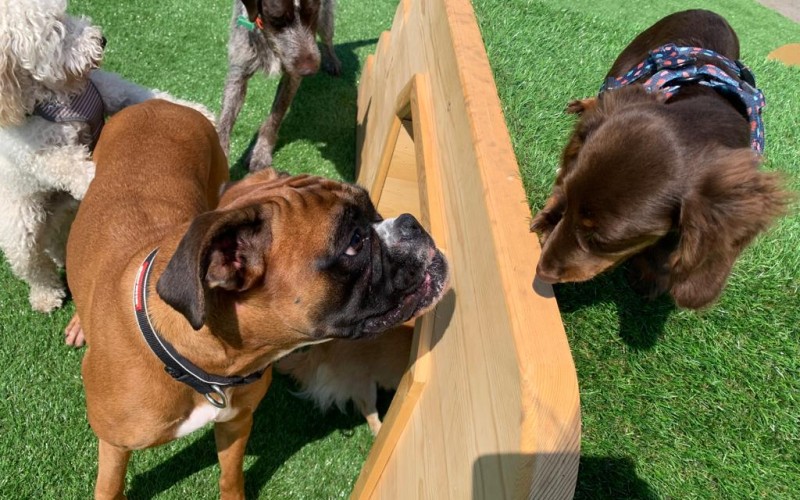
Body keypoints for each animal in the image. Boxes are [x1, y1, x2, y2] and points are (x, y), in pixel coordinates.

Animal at [0, 0, 216, 312]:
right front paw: (95, 177)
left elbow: (143, 95)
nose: (101, 40)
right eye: (56, 29)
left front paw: (198, 112)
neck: (61, 95)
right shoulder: (35, 151)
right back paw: (46, 296)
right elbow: (63, 163)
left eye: (65, 12)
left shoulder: (110, 89)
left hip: (62, 212)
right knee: (33, 263)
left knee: (55, 238)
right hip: (21, 225)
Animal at [67, 99, 450, 498]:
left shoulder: (236, 423)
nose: (410, 222)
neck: (202, 364)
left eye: (374, 211)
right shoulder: (115, 446)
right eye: (355, 242)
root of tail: (160, 103)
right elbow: (110, 487)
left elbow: (230, 475)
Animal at [217, 0, 340, 172]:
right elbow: (225, 122)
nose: (309, 71)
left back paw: (333, 61)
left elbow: (275, 116)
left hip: (326, 17)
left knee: (327, 38)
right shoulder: (238, 72)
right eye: (277, 19)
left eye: (313, 13)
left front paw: (260, 152)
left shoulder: (293, 76)